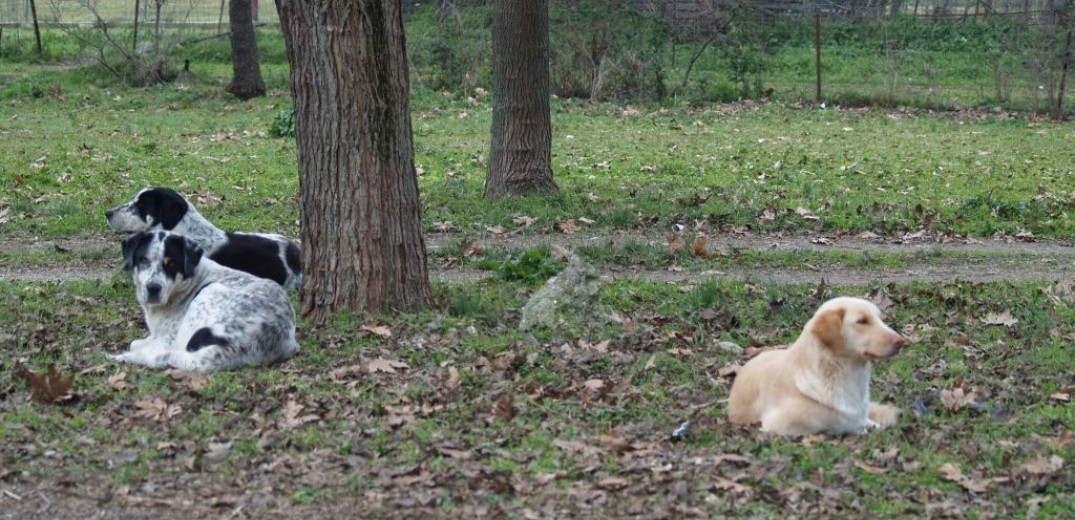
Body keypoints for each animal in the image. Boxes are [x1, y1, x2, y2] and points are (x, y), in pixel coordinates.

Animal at [107, 229, 301, 371]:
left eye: (172, 264)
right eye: (143, 260)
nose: (153, 288)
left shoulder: (170, 338)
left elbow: (142, 346)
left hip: (206, 297)